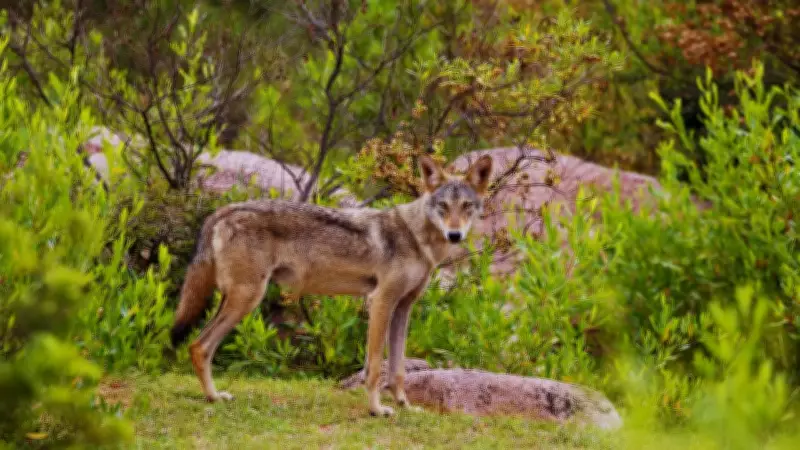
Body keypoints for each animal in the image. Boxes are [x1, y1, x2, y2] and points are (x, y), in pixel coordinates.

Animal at [169, 154, 493, 416]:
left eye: (466, 206)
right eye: (443, 206)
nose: (454, 235)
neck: (416, 238)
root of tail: (223, 210)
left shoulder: (403, 308)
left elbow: (398, 369)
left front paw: (405, 406)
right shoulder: (380, 301)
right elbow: (374, 367)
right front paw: (376, 410)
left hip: (239, 300)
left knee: (200, 347)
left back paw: (214, 397)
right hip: (247, 299)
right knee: (199, 346)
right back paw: (212, 397)